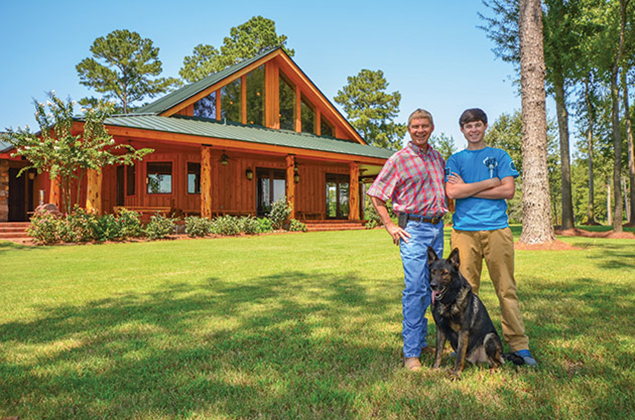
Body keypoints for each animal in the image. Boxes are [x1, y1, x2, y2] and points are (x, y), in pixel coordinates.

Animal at [428, 246, 520, 378]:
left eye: (445, 273)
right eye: (433, 272)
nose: (432, 285)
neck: (449, 302)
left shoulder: (463, 332)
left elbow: (459, 356)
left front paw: (456, 374)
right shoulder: (440, 329)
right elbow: (438, 352)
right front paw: (435, 368)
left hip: (489, 337)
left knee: (497, 363)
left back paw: (492, 370)